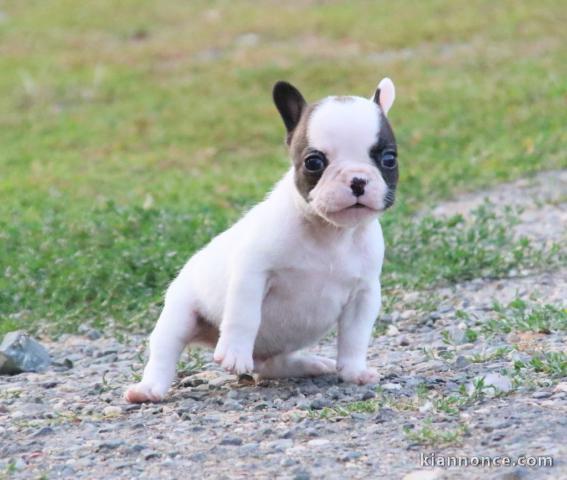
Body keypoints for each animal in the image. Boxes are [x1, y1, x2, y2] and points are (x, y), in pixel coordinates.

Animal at [124, 77, 400, 404]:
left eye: (388, 159)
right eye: (314, 162)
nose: (358, 180)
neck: (330, 233)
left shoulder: (364, 293)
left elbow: (356, 337)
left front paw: (355, 372)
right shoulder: (252, 273)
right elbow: (244, 315)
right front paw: (234, 353)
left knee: (272, 365)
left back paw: (309, 364)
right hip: (179, 313)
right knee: (165, 351)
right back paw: (148, 389)